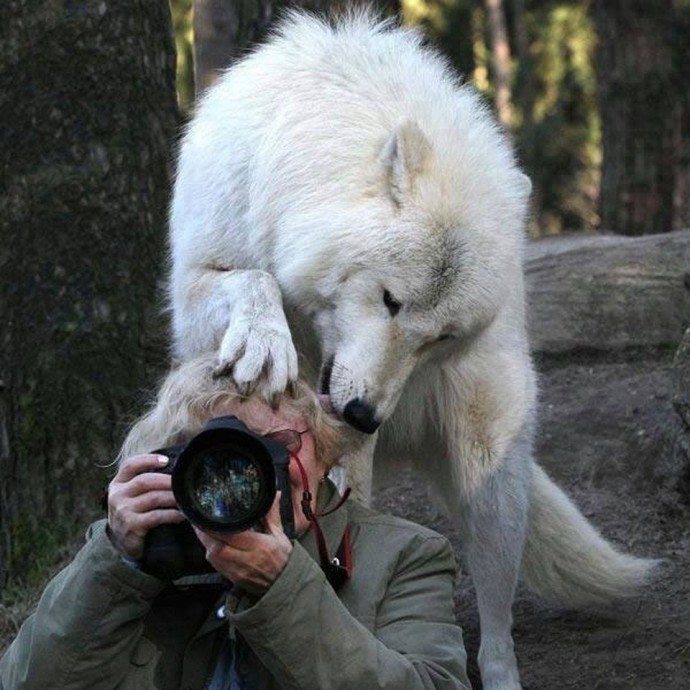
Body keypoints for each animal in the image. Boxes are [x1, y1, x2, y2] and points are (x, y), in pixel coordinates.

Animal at [168, 10, 656, 688]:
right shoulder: (196, 277)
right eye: (390, 300)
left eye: (440, 337)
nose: (364, 416)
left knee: (496, 622)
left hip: (490, 474)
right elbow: (253, 278)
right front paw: (265, 342)